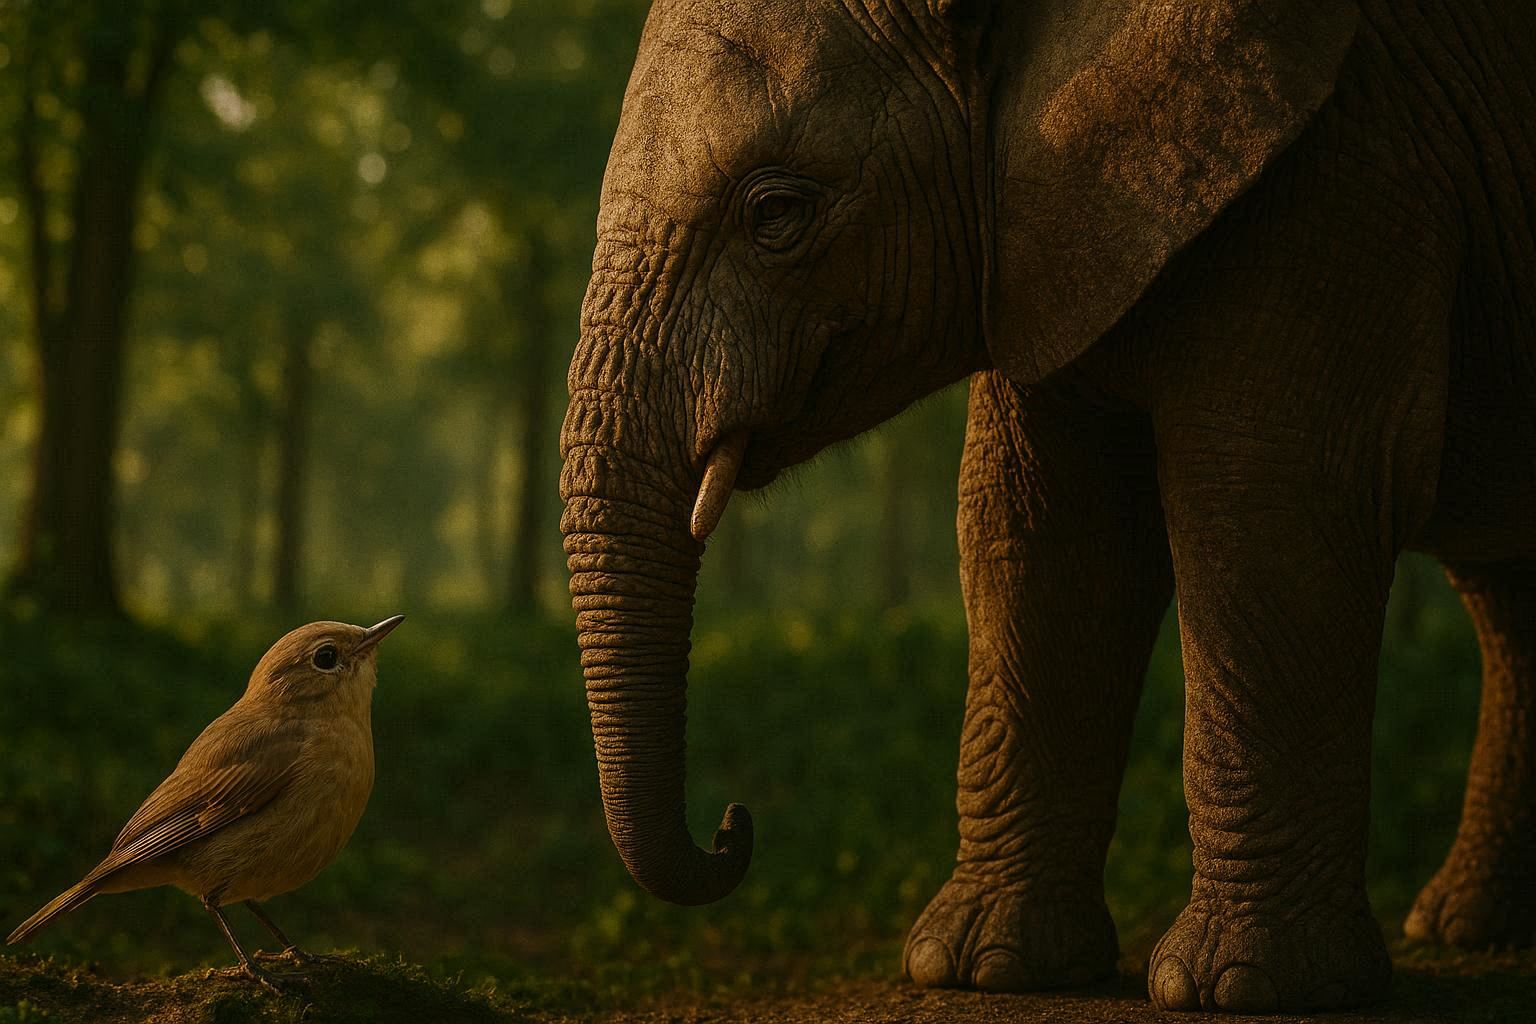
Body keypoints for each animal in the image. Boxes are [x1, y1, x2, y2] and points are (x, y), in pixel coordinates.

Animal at [558, 0, 1536, 1014]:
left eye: (777, 213)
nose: (732, 824)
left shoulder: (1342, 162)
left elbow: (1272, 496)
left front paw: (1242, 989)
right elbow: (1042, 529)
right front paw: (981, 968)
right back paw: (1467, 927)